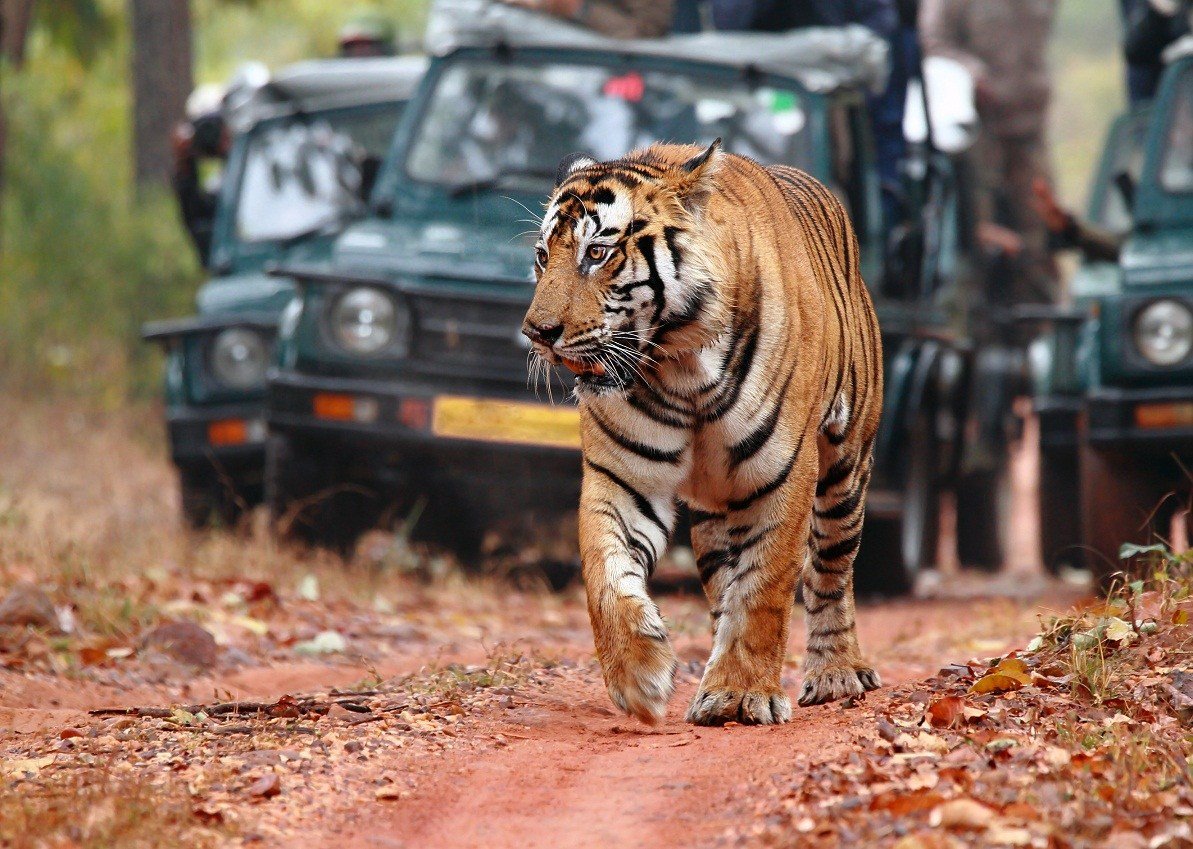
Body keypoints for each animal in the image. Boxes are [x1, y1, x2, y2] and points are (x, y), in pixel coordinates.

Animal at [524, 142, 887, 724]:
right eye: (542, 256)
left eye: (597, 253)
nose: (536, 333)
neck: (679, 366)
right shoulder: (623, 478)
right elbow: (605, 575)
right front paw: (639, 677)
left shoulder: (783, 473)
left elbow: (765, 586)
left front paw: (741, 694)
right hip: (718, 510)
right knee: (724, 583)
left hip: (845, 467)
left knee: (830, 571)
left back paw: (837, 673)